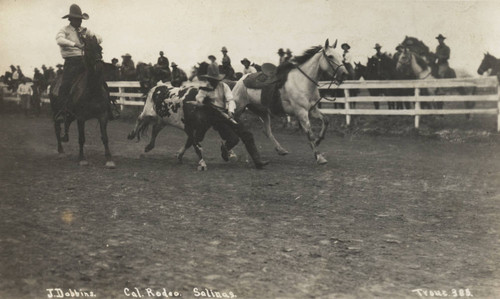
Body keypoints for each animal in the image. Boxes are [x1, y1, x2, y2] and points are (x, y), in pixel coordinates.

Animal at [49, 35, 115, 169]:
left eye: (100, 48)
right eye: (88, 49)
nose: (99, 67)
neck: (92, 90)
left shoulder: (103, 115)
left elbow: (105, 137)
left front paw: (109, 159)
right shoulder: (81, 117)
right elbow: (81, 138)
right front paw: (82, 158)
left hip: (70, 115)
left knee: (66, 123)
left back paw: (65, 138)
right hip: (56, 113)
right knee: (57, 129)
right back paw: (61, 151)